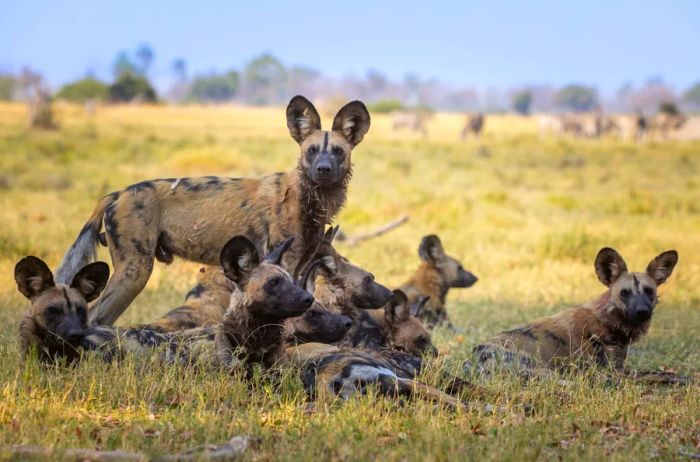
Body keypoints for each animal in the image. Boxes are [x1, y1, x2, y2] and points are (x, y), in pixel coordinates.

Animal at [54, 94, 372, 324]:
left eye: (338, 151)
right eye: (311, 151)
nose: (323, 169)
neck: (309, 199)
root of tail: (115, 194)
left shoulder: (301, 267)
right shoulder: (287, 265)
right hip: (135, 272)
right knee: (96, 317)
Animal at [470, 247, 680, 380]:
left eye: (649, 291)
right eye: (625, 293)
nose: (642, 312)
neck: (608, 320)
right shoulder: (614, 371)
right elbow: (661, 375)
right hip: (545, 370)